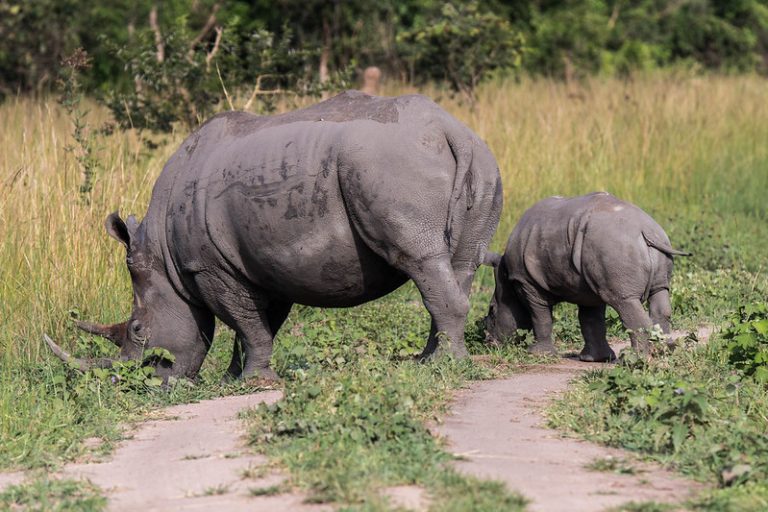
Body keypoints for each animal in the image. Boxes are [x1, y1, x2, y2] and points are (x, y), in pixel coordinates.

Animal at [45, 91, 503, 380]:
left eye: (139, 330)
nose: (145, 381)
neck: (164, 258)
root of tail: (450, 130)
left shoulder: (209, 266)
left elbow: (246, 323)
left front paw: (253, 382)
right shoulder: (263, 262)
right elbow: (257, 323)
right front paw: (235, 377)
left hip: (388, 165)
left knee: (420, 259)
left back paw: (445, 366)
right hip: (479, 163)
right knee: (457, 264)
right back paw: (425, 361)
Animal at [483, 192, 689, 362]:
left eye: (492, 311)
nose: (489, 343)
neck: (506, 276)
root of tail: (645, 231)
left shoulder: (527, 282)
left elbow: (540, 316)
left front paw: (537, 354)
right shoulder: (588, 287)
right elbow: (590, 320)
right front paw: (594, 359)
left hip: (615, 247)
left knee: (624, 301)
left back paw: (635, 360)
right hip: (639, 246)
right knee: (659, 293)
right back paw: (662, 354)